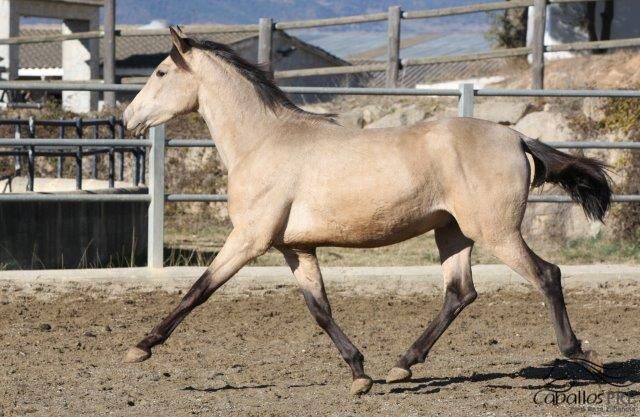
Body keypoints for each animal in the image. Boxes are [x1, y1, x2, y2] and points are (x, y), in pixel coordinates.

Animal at [124, 27, 608, 394]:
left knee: (547, 275)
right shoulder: (295, 248)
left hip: (497, 232)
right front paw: (359, 373)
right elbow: (319, 309)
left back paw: (582, 354)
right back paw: (402, 364)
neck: (262, 141)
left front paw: (140, 347)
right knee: (460, 293)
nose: (129, 118)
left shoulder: (249, 239)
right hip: (452, 232)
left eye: (161, 71)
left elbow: (199, 289)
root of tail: (516, 137)